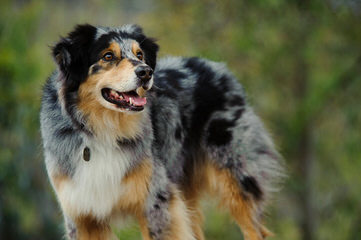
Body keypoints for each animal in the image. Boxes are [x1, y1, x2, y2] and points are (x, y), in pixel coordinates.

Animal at [40, 23, 284, 240]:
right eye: (108, 56)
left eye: (140, 54)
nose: (146, 72)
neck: (102, 131)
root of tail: (216, 67)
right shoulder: (82, 214)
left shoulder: (156, 201)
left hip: (236, 175)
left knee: (253, 227)